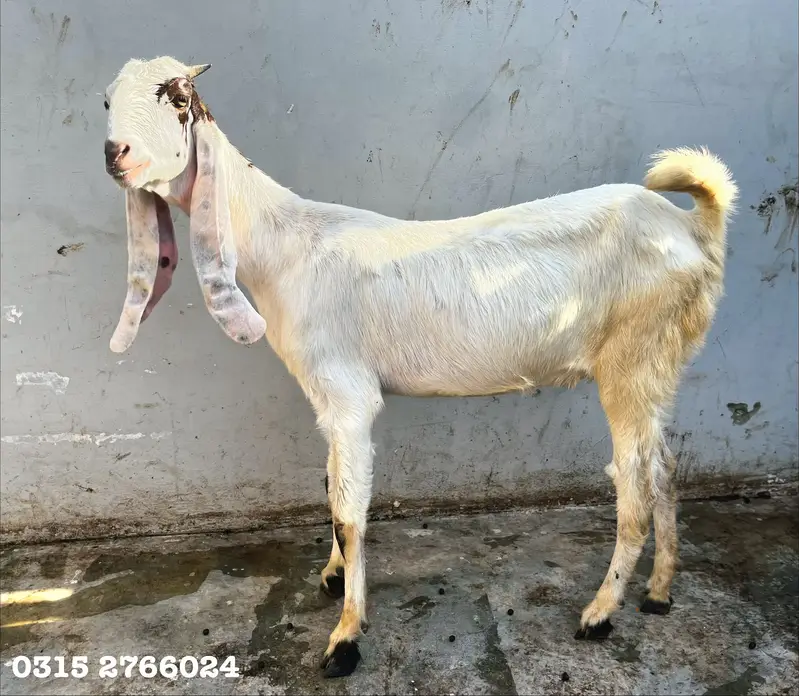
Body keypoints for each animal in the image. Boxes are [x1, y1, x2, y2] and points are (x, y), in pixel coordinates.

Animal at [102, 57, 737, 678]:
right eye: (107, 100)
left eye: (174, 97)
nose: (116, 154)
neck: (282, 245)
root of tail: (693, 228)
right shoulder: (327, 399)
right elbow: (331, 486)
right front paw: (334, 576)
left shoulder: (347, 392)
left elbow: (349, 511)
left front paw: (345, 638)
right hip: (659, 366)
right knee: (664, 470)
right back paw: (658, 593)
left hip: (632, 359)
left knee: (634, 491)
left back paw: (601, 613)